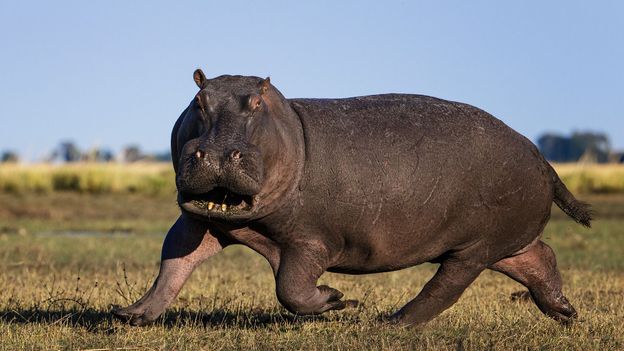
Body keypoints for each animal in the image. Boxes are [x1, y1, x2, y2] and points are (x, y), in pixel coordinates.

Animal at [109, 69, 592, 328]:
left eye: (256, 104)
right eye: (198, 99)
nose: (213, 152)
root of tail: (541, 156)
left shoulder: (310, 241)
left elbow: (290, 288)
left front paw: (338, 299)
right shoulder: (200, 220)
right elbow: (172, 264)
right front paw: (130, 314)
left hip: (473, 246)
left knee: (448, 284)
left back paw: (392, 322)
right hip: (502, 242)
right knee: (539, 258)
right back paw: (565, 312)